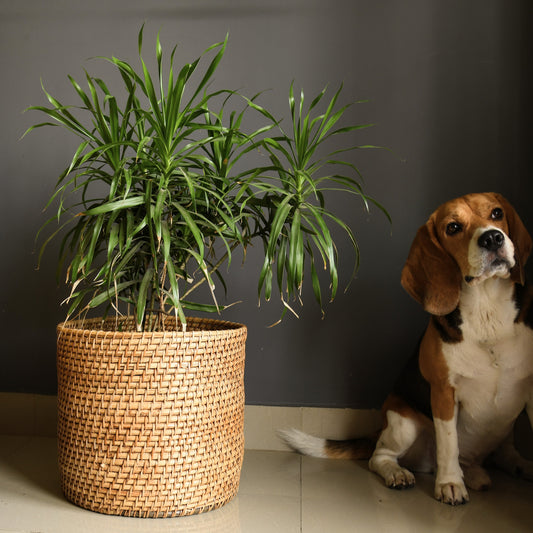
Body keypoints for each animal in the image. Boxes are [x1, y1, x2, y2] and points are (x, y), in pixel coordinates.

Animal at [280, 192, 533, 505]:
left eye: (497, 213)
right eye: (453, 228)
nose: (492, 238)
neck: (488, 309)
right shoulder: (443, 393)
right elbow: (448, 445)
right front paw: (450, 484)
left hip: (505, 424)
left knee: (500, 452)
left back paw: (505, 468)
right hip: (404, 422)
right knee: (380, 456)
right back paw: (400, 473)